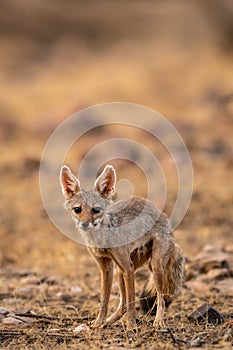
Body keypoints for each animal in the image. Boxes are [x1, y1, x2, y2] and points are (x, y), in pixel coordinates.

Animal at [59, 163, 184, 330]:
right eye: (77, 210)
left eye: (96, 210)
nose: (85, 224)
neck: (101, 240)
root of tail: (163, 215)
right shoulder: (106, 268)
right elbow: (104, 300)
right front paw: (99, 323)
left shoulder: (128, 268)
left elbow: (132, 302)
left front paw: (131, 325)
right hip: (120, 271)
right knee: (123, 304)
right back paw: (108, 322)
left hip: (155, 268)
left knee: (161, 299)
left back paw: (158, 321)